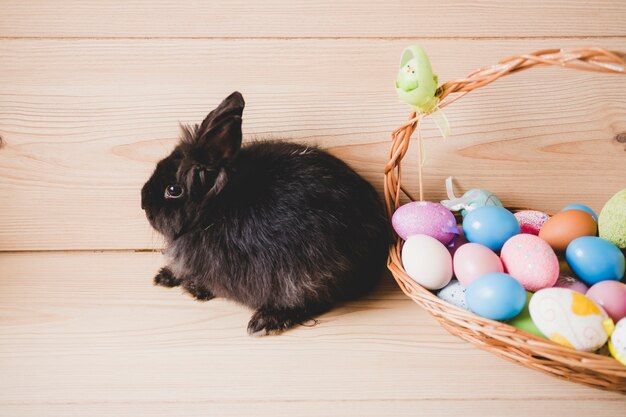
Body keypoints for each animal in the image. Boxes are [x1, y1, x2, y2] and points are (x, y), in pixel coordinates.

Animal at [141, 92, 388, 334]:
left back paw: (266, 320)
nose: (143, 203)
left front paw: (193, 287)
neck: (214, 209)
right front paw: (164, 276)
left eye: (173, 190)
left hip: (309, 276)